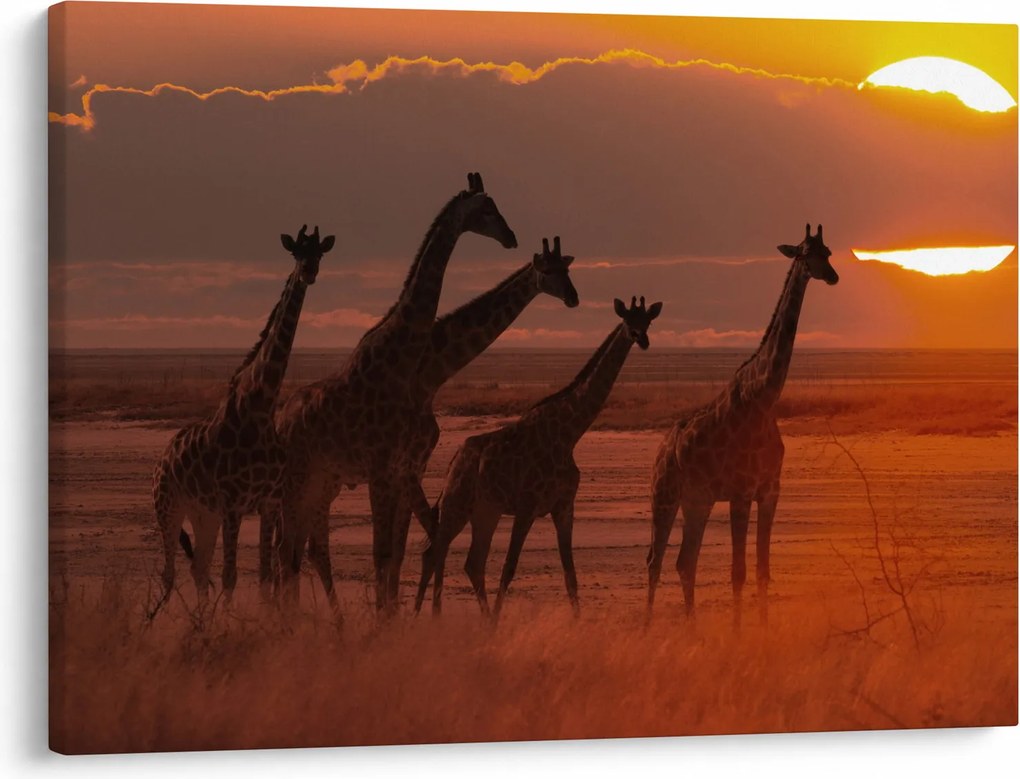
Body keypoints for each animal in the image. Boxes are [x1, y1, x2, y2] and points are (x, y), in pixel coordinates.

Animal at [152, 224, 335, 605]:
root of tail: (163, 455)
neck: (261, 406)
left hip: (203, 514)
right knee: (170, 573)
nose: (309, 272)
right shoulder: (233, 504)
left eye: (319, 253)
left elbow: (264, 576)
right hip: (168, 507)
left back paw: (200, 618)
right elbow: (231, 577)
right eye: (296, 252)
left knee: (198, 570)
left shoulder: (267, 502)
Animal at [274, 172, 517, 613]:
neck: (402, 362)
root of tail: (280, 421)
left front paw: (391, 619)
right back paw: (288, 620)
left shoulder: (401, 468)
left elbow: (395, 554)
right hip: (296, 480)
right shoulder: (381, 470)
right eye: (487, 208)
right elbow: (383, 553)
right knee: (286, 549)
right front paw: (383, 621)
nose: (511, 237)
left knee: (297, 549)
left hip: (319, 480)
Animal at [415, 296, 662, 617]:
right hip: (457, 505)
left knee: (471, 562)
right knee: (435, 552)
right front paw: (499, 620)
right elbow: (509, 568)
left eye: (647, 321)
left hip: (486, 511)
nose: (641, 338)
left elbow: (570, 574)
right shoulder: (527, 506)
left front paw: (577, 621)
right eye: (627, 320)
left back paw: (473, 618)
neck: (568, 435)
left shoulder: (563, 506)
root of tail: (454, 461)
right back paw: (426, 616)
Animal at [646, 224, 838, 626]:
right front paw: (738, 634)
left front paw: (762, 631)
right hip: (664, 494)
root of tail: (661, 448)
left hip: (697, 501)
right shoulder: (740, 492)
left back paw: (692, 629)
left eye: (827, 251)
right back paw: (647, 627)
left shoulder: (769, 491)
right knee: (655, 560)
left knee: (685, 561)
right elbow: (738, 571)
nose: (832, 275)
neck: (764, 399)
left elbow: (763, 569)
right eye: (804, 253)